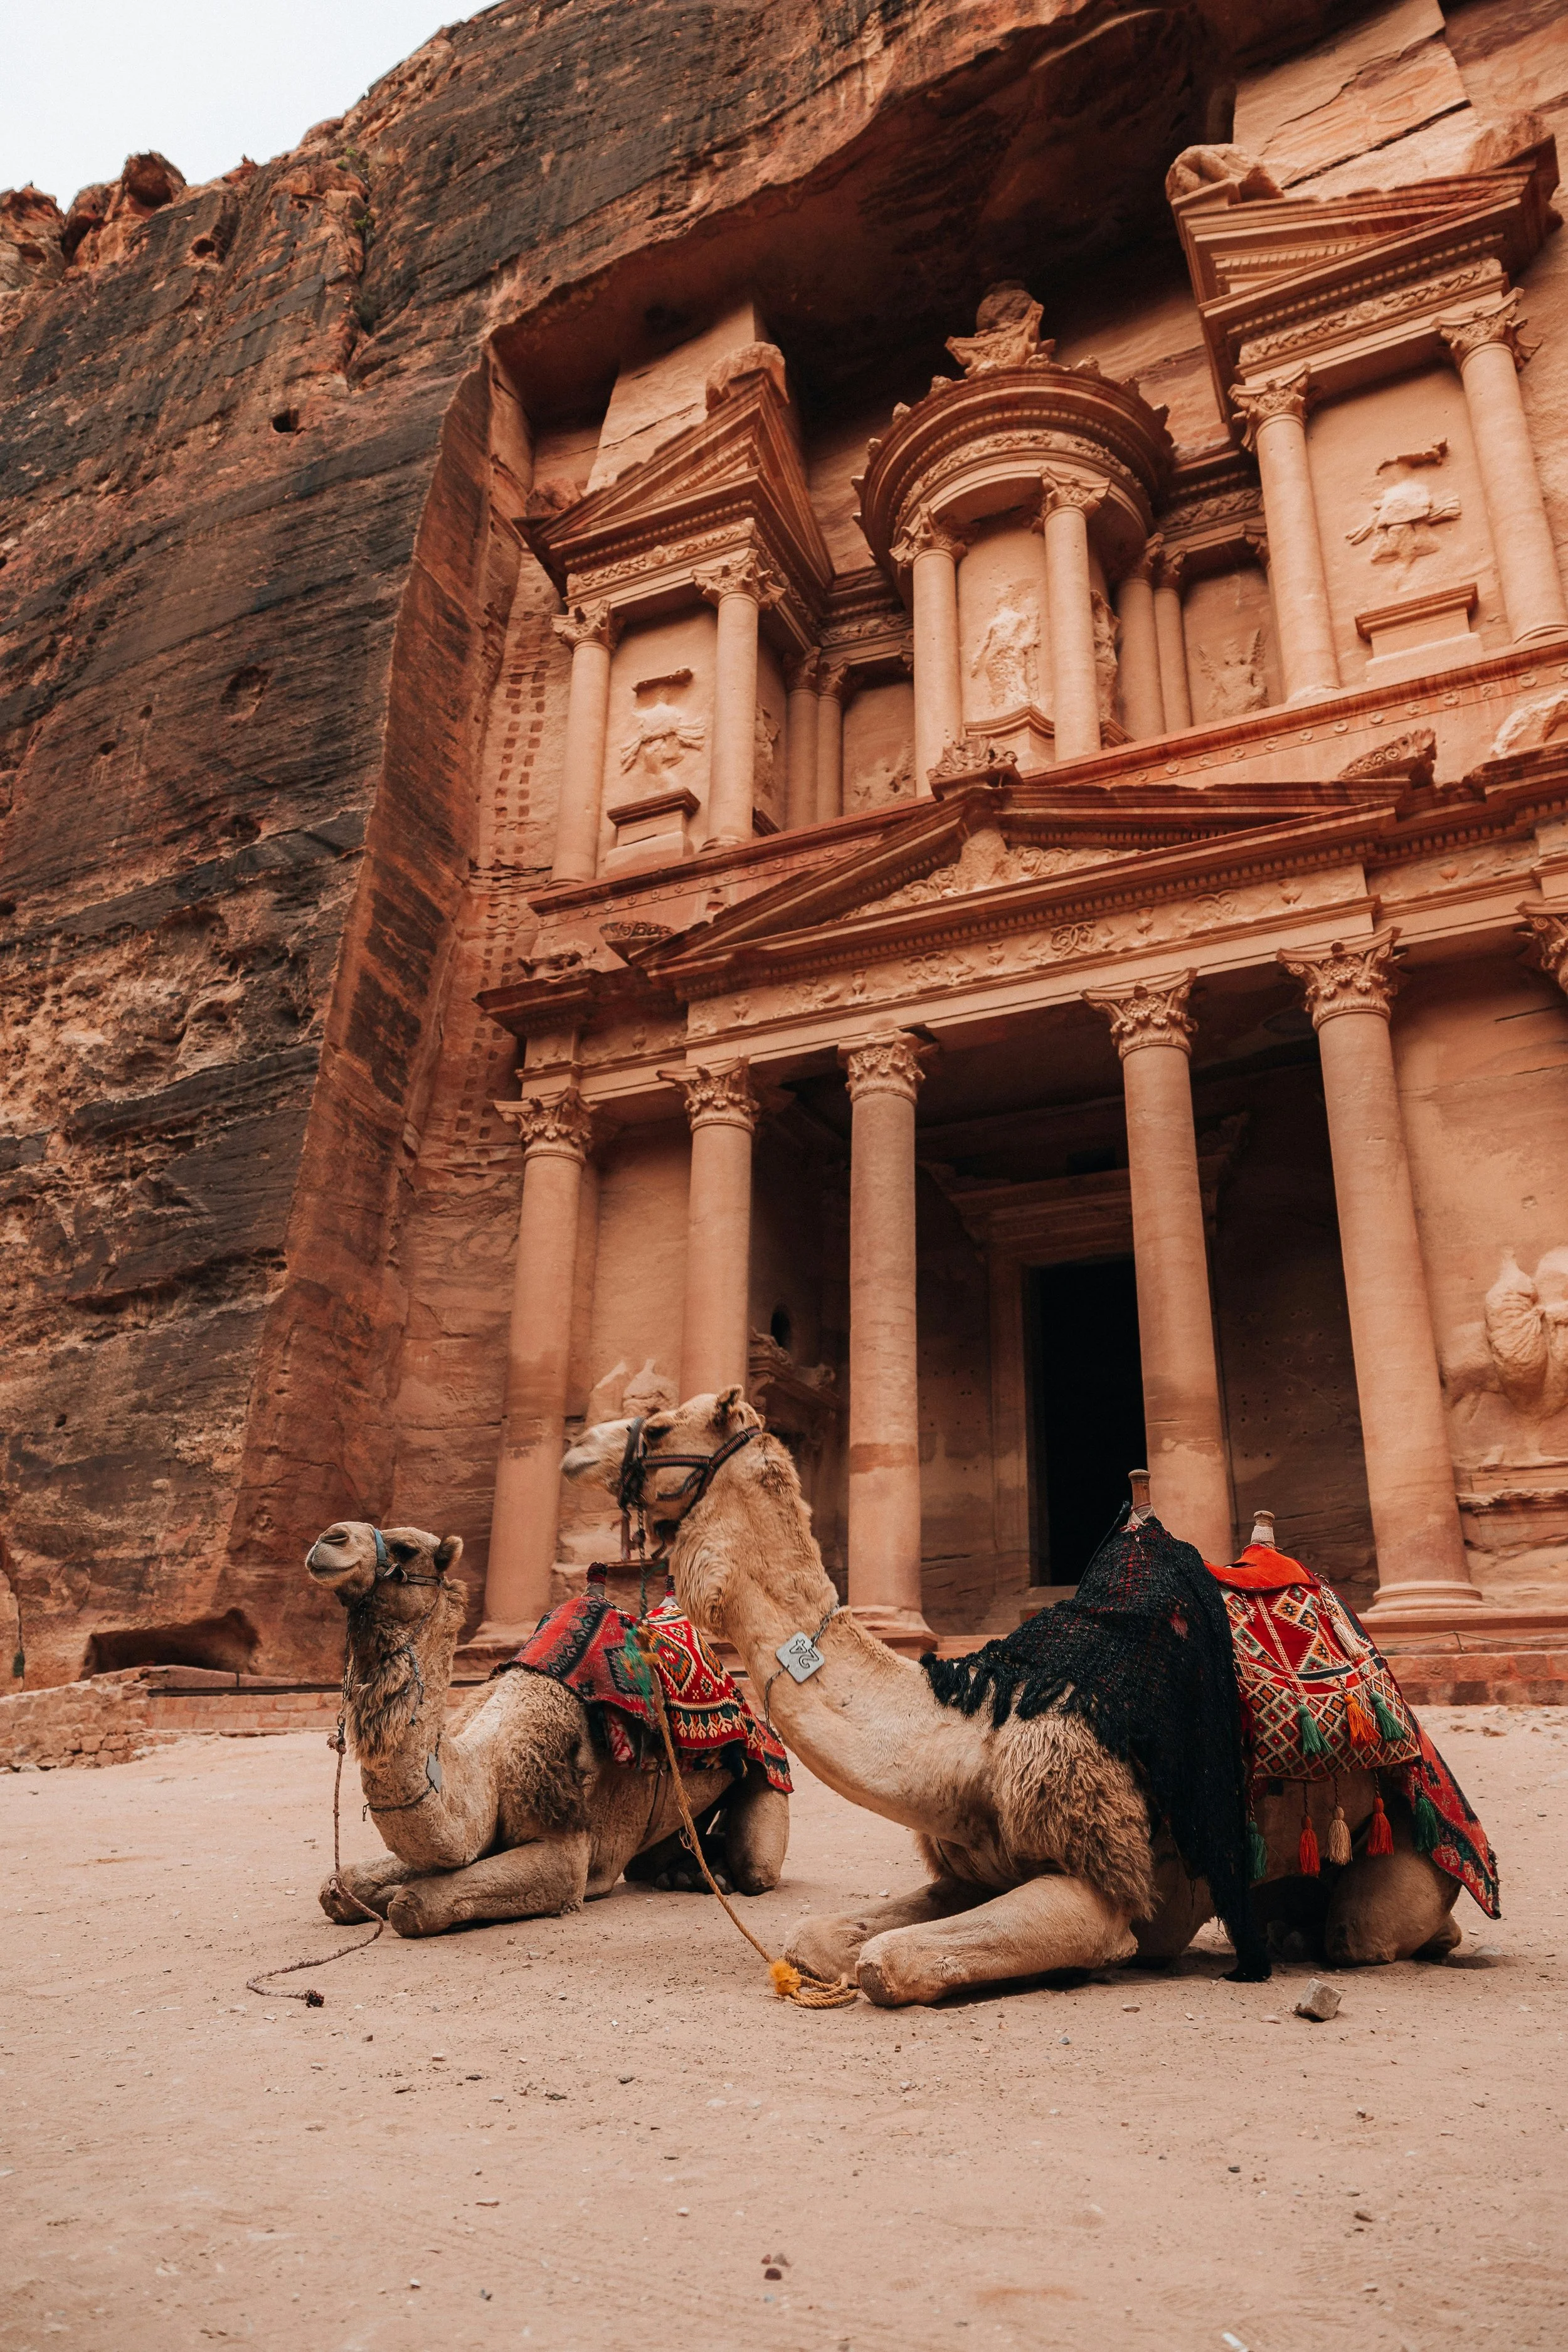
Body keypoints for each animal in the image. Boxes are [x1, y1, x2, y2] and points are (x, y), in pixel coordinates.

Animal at [304, 1522, 789, 1936]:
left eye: (406, 1549)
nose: (329, 1538)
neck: (485, 1763)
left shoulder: (564, 1846)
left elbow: (414, 1904)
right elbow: (341, 1885)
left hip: (769, 1769)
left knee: (757, 1867)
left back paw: (719, 1875)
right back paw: (687, 1873)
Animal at [564, 1391, 1462, 2006]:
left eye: (660, 1426)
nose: (574, 1451)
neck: (970, 1736)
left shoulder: (1103, 1881)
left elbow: (889, 1963)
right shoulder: (967, 1864)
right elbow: (818, 1936)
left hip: (1402, 1821)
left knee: (1363, 1932)